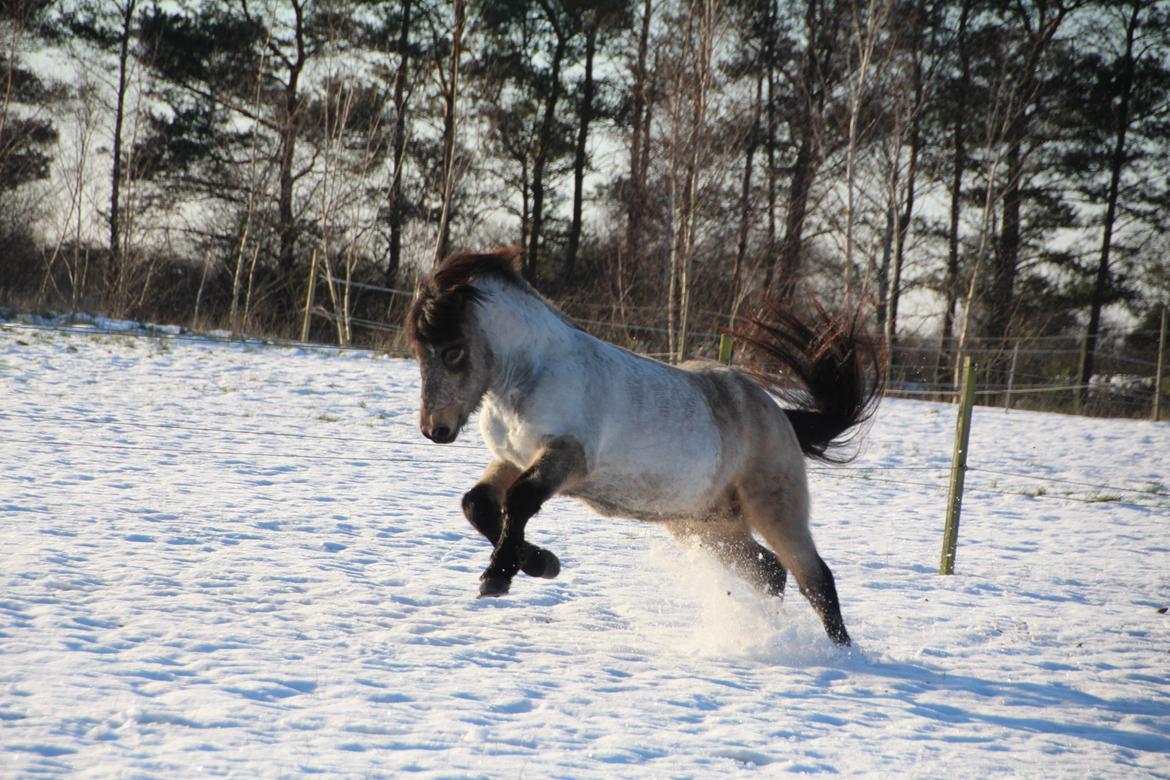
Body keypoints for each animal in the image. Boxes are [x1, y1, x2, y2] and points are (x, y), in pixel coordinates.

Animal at [407, 246, 879, 645]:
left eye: (453, 352)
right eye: (418, 350)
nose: (435, 430)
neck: (532, 374)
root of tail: (777, 413)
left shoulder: (566, 457)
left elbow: (519, 501)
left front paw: (498, 577)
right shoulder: (511, 458)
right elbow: (478, 504)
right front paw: (542, 563)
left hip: (773, 508)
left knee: (814, 578)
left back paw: (842, 655)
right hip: (706, 525)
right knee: (770, 573)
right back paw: (765, 631)